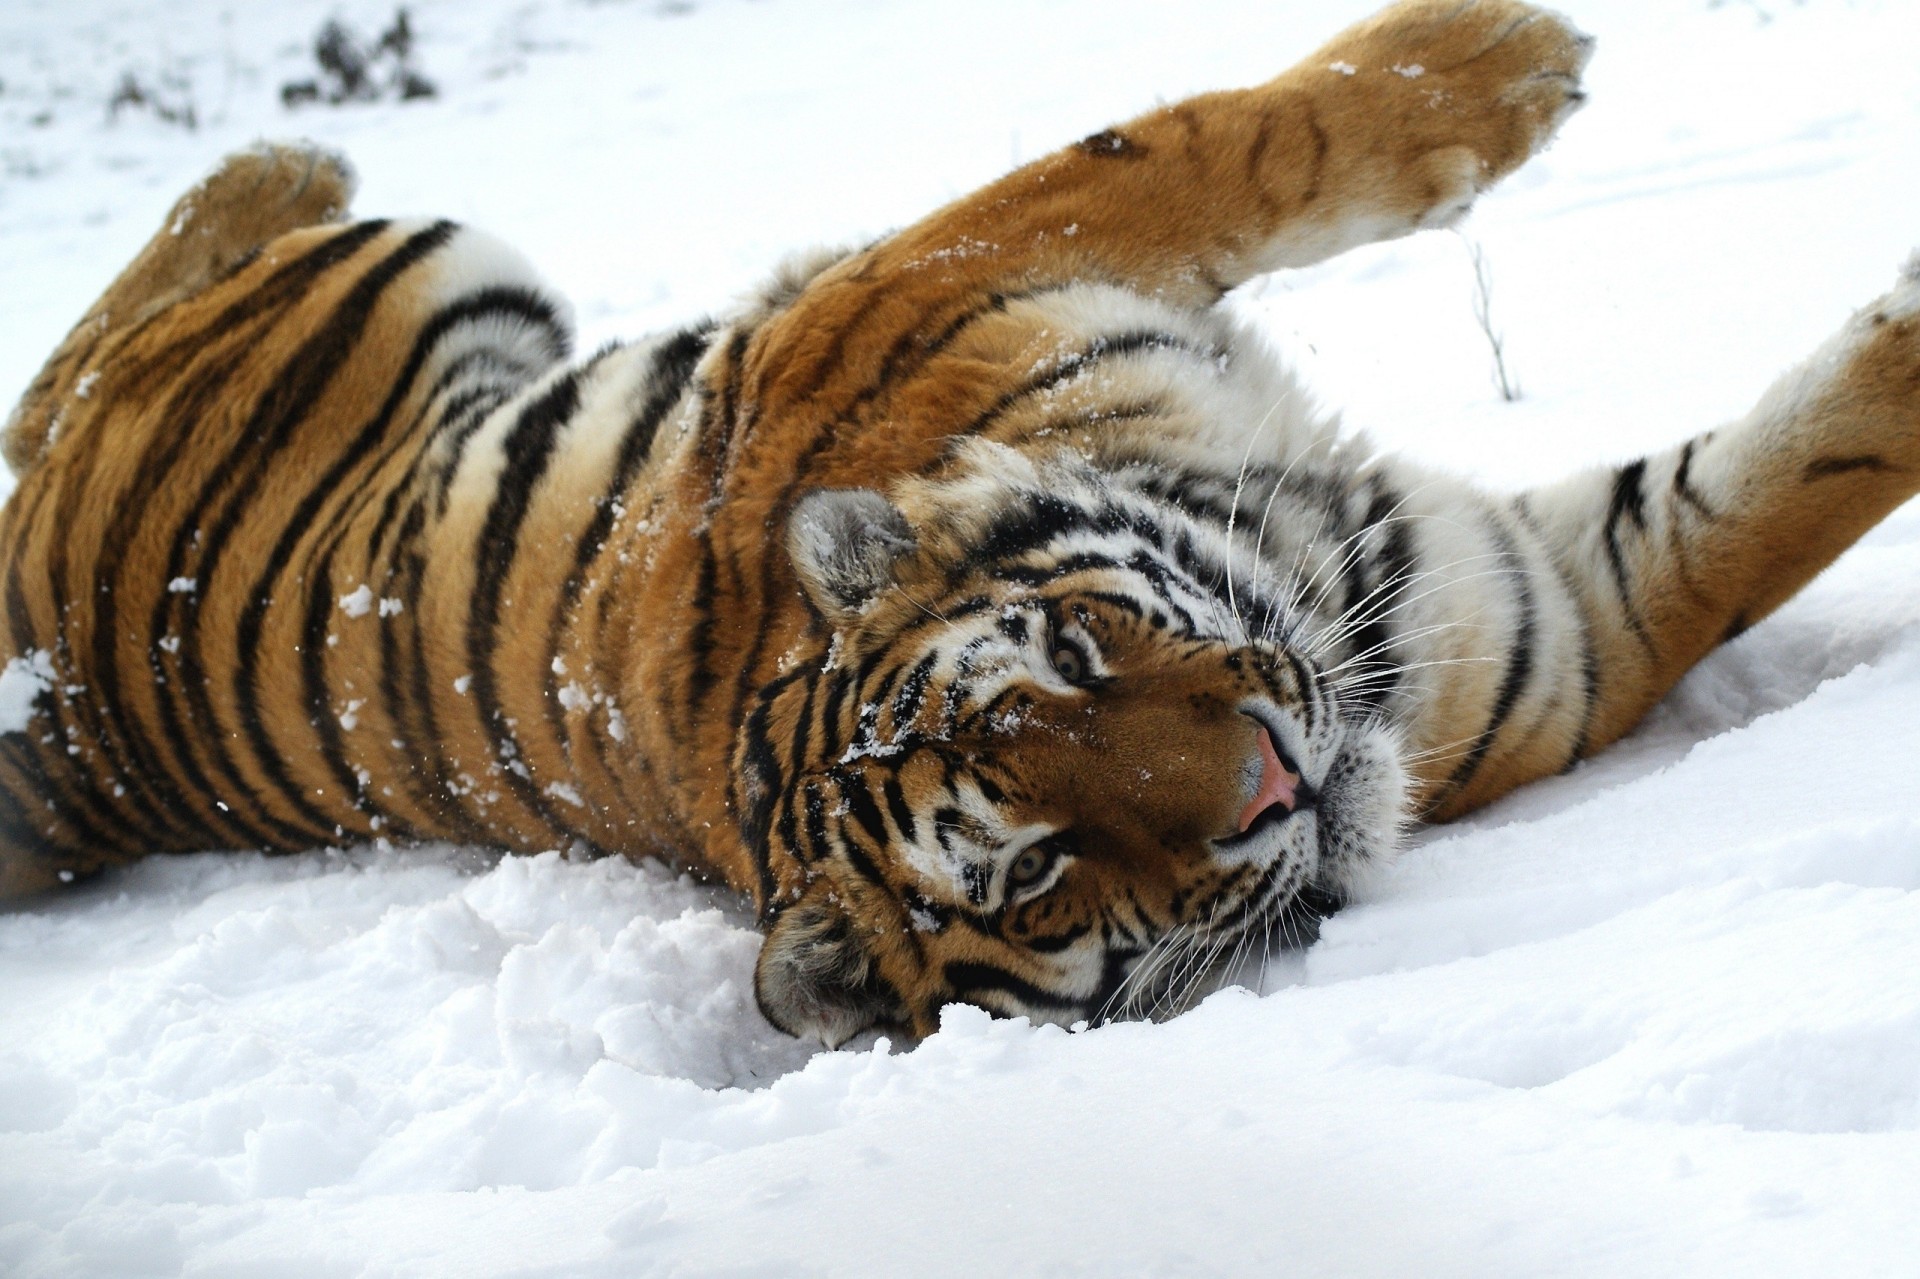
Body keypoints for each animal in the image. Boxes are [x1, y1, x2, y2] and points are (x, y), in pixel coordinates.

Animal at [3, 0, 1918, 1046]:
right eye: (1041, 864)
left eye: (1076, 645)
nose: (1275, 781)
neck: (1292, 547)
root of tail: (68, 726)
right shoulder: (1576, 610)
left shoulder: (950, 268)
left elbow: (1215, 140)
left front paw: (1500, 52)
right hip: (403, 285)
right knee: (77, 364)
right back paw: (283, 158)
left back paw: (283, 155)